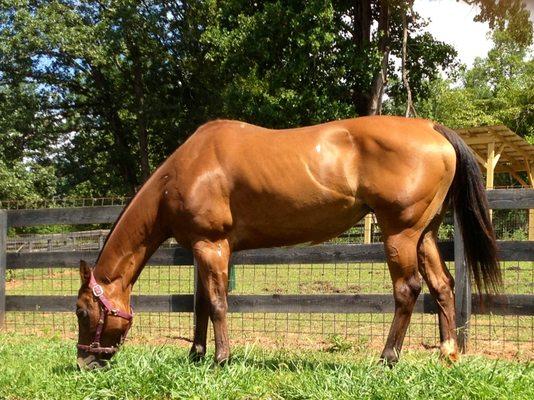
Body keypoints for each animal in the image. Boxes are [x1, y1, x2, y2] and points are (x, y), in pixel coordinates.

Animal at [75, 115, 502, 368]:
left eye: (81, 312)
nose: (84, 362)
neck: (183, 173)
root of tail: (433, 129)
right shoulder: (200, 248)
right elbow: (200, 305)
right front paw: (196, 354)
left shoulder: (212, 245)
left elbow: (216, 303)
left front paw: (220, 358)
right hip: (424, 234)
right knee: (442, 286)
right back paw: (448, 353)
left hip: (401, 233)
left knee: (408, 289)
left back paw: (387, 357)